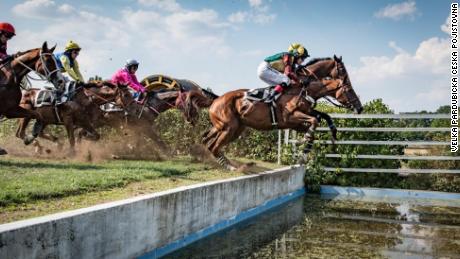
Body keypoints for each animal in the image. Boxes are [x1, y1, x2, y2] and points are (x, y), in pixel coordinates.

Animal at [184, 54, 362, 171]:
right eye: (348, 88)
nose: (360, 108)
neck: (303, 88)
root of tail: (216, 99)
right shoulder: (291, 117)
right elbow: (314, 121)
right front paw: (303, 147)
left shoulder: (297, 121)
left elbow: (320, 119)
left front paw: (306, 151)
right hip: (229, 128)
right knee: (213, 145)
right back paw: (232, 167)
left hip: (231, 127)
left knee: (207, 139)